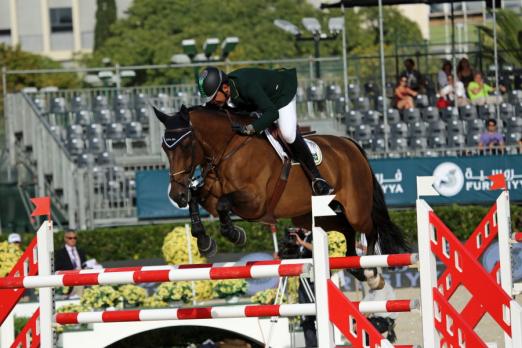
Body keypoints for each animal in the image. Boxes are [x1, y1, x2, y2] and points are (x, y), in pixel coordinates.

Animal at [154, 104, 406, 278]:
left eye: (186, 145)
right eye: (165, 147)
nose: (176, 195)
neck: (227, 148)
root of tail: (349, 144)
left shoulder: (255, 201)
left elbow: (225, 203)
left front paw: (235, 234)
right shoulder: (210, 196)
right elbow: (197, 200)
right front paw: (205, 240)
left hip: (356, 208)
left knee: (369, 229)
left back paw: (370, 270)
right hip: (307, 215)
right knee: (345, 228)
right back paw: (353, 265)